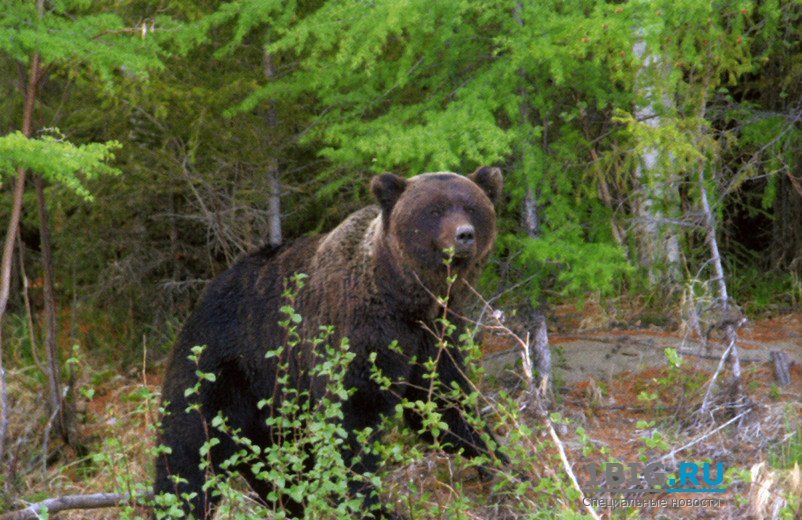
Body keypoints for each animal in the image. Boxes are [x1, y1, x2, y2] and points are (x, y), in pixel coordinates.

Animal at [155, 169, 504, 516]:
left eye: (470, 207)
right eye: (434, 210)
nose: (464, 235)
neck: (405, 298)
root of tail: (204, 294)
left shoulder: (435, 334)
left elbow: (445, 401)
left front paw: (501, 463)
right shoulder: (357, 331)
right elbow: (353, 415)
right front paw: (372, 505)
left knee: (278, 465)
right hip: (220, 367)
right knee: (189, 451)